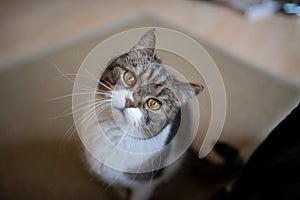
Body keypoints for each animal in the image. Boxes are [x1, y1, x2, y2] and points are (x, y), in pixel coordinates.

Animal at [82, 29, 204, 200]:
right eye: (129, 77)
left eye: (153, 103)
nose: (129, 102)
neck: (114, 135)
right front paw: (119, 192)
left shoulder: (145, 184)